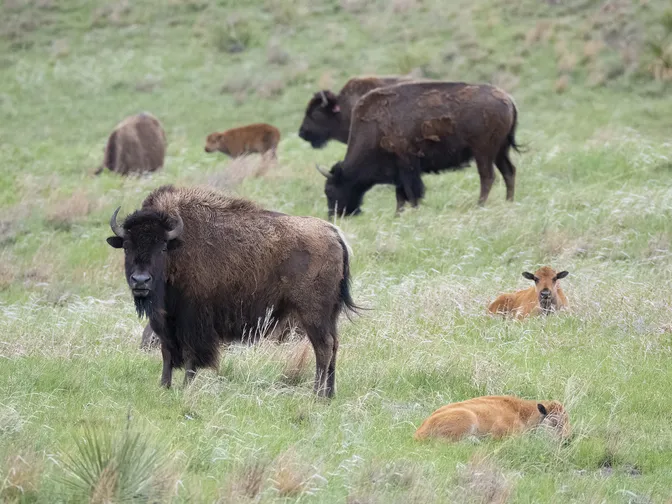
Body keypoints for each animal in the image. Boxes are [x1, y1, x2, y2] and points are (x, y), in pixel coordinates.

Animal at [106, 185, 356, 397]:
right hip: (329, 316)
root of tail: (333, 233)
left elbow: (190, 356)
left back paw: (316, 394)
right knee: (334, 345)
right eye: (127, 246)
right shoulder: (165, 322)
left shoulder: (194, 322)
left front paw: (186, 386)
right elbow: (167, 353)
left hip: (312, 314)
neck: (178, 244)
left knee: (323, 347)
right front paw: (164, 386)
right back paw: (329, 395)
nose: (140, 281)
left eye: (162, 247)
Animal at [315, 81, 520, 216]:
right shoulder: (398, 172)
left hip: (483, 152)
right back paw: (508, 202)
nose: (333, 215)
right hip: (500, 151)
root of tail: (508, 99)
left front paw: (412, 212)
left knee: (488, 177)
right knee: (508, 172)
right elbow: (400, 195)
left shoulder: (408, 166)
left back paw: (480, 205)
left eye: (329, 190)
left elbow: (411, 192)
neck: (374, 128)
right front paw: (398, 215)